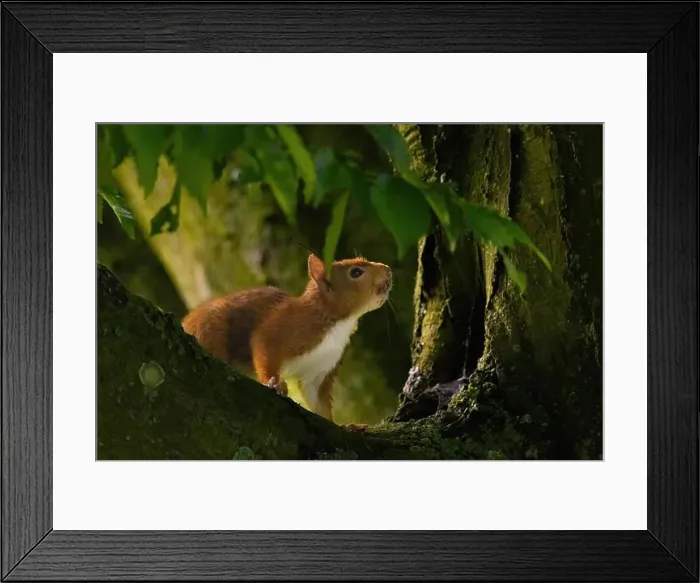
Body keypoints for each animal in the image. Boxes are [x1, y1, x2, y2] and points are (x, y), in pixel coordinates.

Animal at [181, 253, 392, 423]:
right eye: (355, 272)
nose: (388, 270)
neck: (337, 323)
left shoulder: (322, 368)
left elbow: (318, 398)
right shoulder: (282, 327)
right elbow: (263, 347)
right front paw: (274, 383)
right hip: (210, 327)